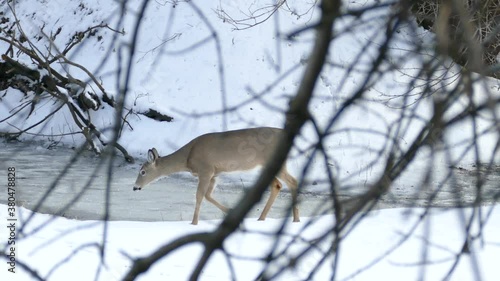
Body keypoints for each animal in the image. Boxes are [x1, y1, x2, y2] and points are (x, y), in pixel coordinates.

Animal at [132, 126, 300, 224]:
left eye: (143, 171)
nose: (135, 187)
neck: (187, 158)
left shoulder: (205, 169)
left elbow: (199, 196)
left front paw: (193, 223)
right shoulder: (214, 173)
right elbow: (208, 195)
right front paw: (230, 211)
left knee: (292, 181)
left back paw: (296, 219)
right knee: (277, 184)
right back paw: (261, 218)